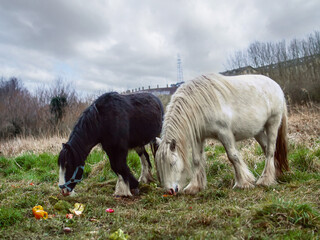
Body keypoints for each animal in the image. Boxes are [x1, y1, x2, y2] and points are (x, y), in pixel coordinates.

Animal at [156, 73, 288, 195]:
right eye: (160, 167)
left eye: (172, 163)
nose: (170, 191)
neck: (199, 103)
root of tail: (276, 85)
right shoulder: (199, 137)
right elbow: (196, 160)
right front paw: (194, 187)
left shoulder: (224, 133)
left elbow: (233, 156)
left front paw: (243, 183)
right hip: (258, 131)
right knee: (267, 149)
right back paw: (274, 175)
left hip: (272, 123)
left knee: (270, 150)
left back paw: (265, 180)